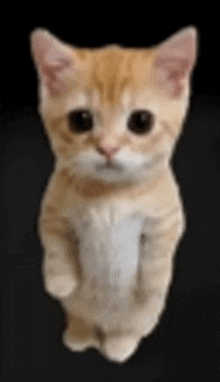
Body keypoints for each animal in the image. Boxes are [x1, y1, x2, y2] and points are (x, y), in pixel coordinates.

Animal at [30, 25, 198, 362]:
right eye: (81, 120)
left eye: (141, 121)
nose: (108, 148)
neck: (110, 194)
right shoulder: (52, 210)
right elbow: (55, 245)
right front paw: (59, 280)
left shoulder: (168, 218)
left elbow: (158, 255)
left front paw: (152, 284)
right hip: (78, 309)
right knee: (81, 317)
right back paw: (79, 335)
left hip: (141, 318)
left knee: (127, 328)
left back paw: (119, 346)